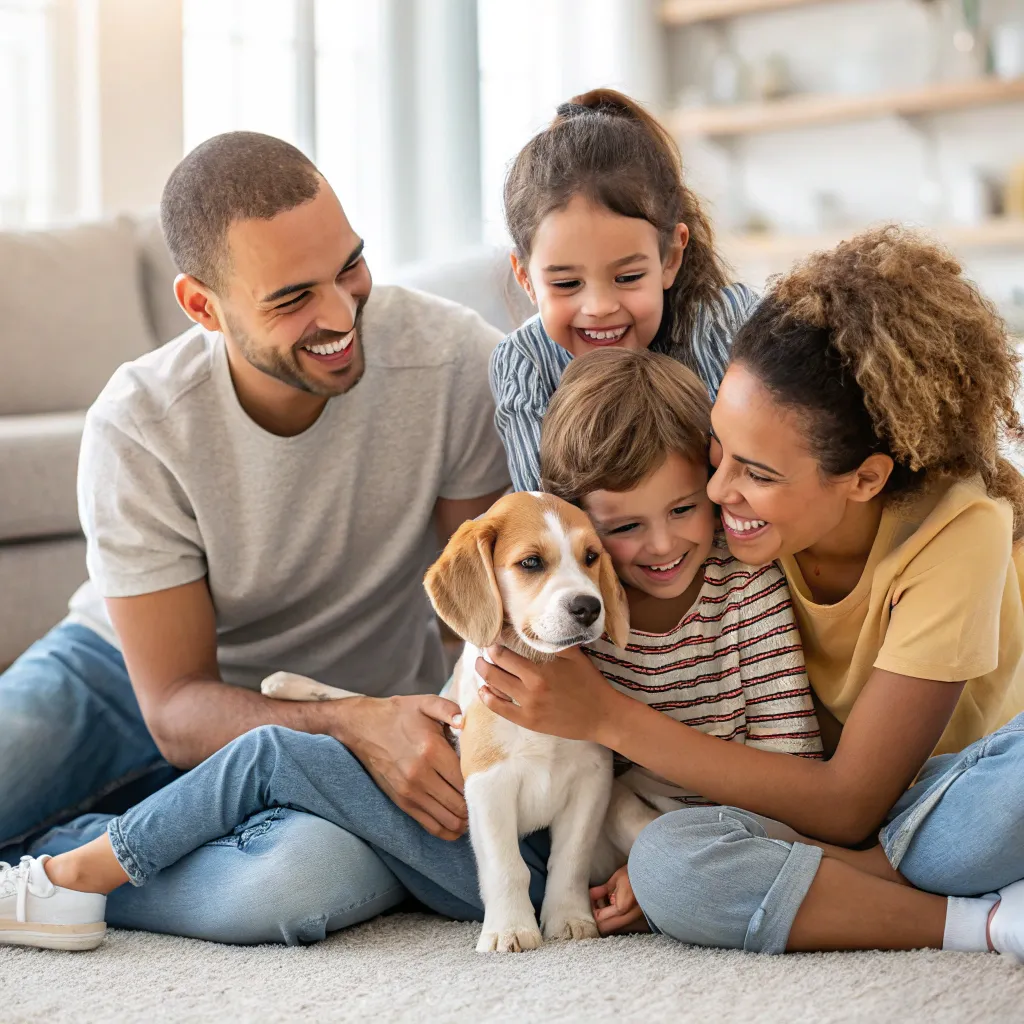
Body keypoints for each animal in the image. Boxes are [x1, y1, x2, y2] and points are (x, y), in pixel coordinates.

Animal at [264, 491, 659, 954]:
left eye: (591, 557)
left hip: (623, 813)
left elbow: (570, 861)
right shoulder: (488, 783)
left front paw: (570, 919)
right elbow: (507, 867)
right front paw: (510, 929)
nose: (588, 607)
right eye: (531, 563)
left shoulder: (591, 781)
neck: (536, 670)